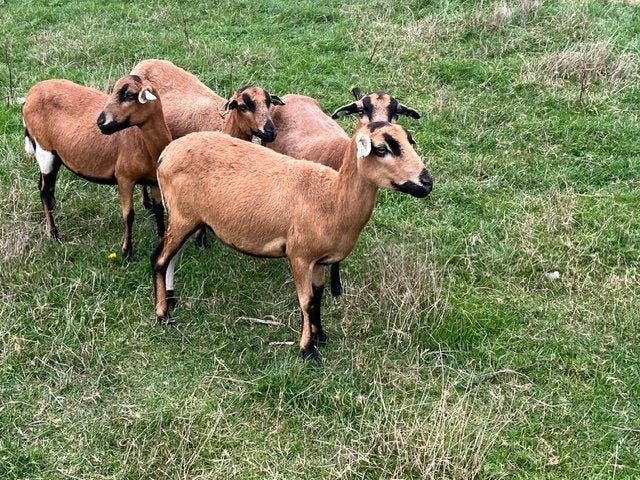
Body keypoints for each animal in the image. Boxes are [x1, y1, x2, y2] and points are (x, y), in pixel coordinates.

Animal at [22, 75, 169, 260]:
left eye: (130, 95)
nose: (100, 122)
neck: (145, 144)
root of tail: (30, 95)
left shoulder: (154, 180)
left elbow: (159, 210)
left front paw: (161, 240)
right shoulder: (124, 178)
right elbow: (128, 215)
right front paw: (127, 252)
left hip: (54, 155)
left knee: (44, 186)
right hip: (45, 150)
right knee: (44, 192)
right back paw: (53, 234)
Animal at [151, 121, 433, 363]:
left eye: (408, 141)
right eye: (382, 149)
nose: (427, 182)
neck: (334, 200)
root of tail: (166, 154)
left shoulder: (320, 261)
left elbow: (318, 296)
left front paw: (321, 335)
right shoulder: (299, 256)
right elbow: (306, 301)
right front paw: (308, 350)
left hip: (186, 217)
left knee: (171, 257)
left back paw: (171, 298)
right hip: (182, 216)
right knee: (160, 259)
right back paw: (163, 314)